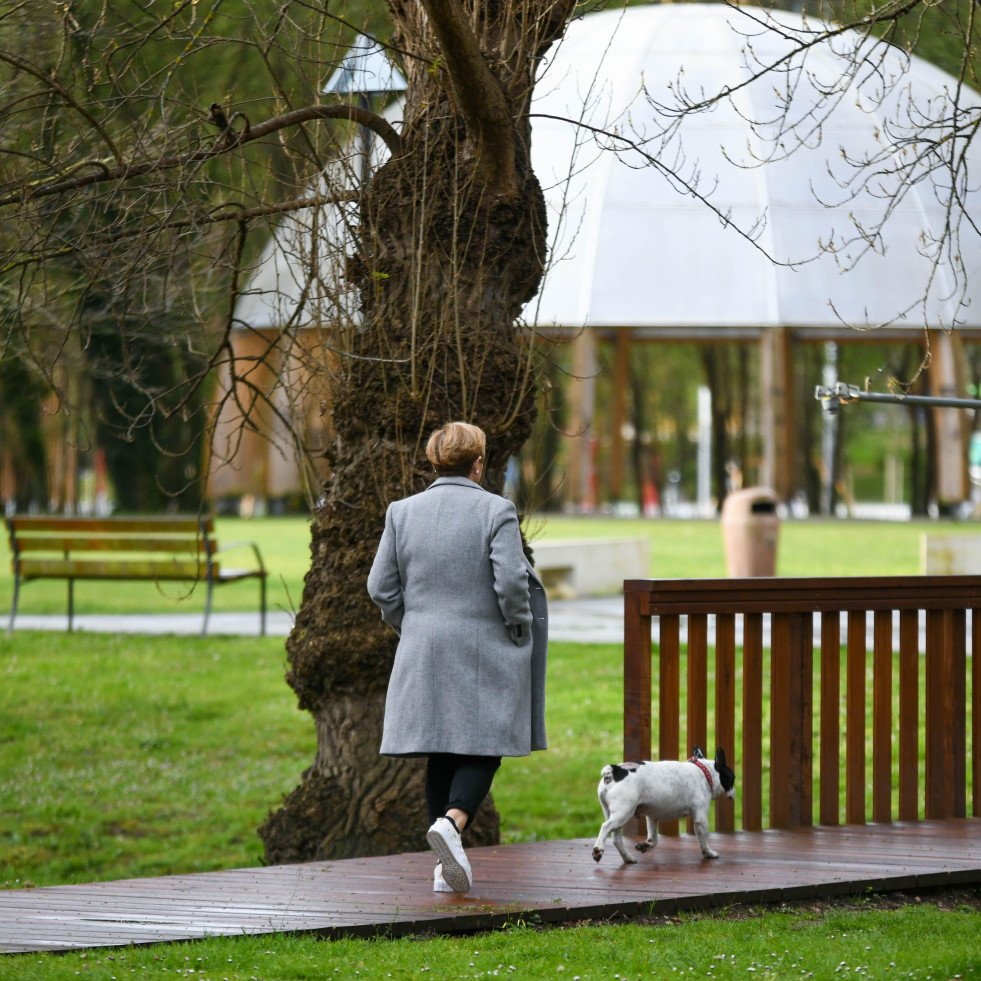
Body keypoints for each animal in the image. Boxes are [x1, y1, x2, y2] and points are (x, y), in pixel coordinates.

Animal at [588, 748, 736, 860]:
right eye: (733, 778)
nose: (734, 792)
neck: (704, 772)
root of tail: (616, 771)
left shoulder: (652, 817)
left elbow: (654, 839)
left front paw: (646, 846)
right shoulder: (701, 819)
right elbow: (703, 839)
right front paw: (708, 853)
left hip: (613, 814)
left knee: (616, 838)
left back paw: (628, 858)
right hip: (623, 813)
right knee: (606, 827)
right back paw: (598, 850)